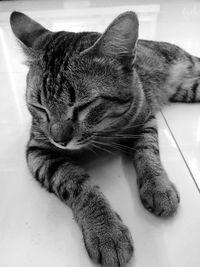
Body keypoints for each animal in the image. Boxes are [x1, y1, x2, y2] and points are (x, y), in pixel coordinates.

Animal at [9, 10, 198, 267]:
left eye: (83, 106)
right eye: (39, 107)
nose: (59, 140)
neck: (104, 130)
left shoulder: (145, 119)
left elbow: (148, 153)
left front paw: (158, 186)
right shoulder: (39, 150)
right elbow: (77, 183)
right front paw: (106, 230)